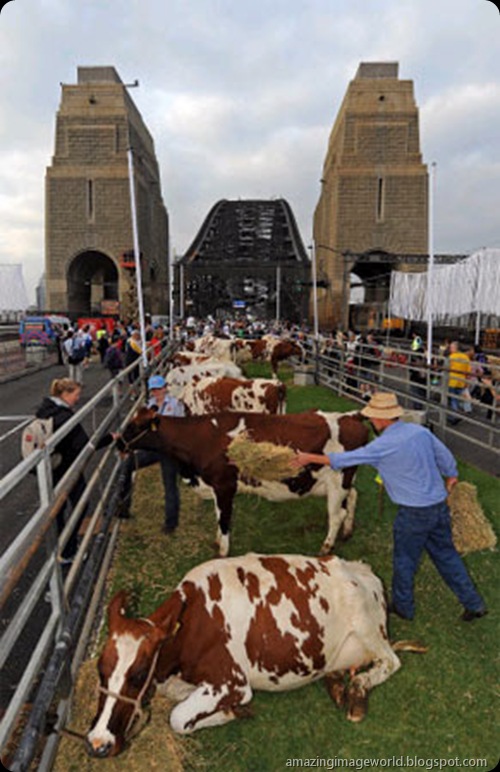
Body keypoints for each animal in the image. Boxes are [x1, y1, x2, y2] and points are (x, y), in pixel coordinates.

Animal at [86, 552, 422, 756]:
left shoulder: (232, 682)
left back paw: (356, 693)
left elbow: (178, 718)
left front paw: (232, 712)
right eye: (100, 670)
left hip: (369, 628)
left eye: (139, 674)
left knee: (390, 662)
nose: (97, 743)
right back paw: (338, 685)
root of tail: (360, 568)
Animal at [117, 408, 368, 556]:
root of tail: (351, 415)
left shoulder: (224, 485)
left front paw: (223, 551)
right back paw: (347, 532)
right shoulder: (216, 488)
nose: (117, 442)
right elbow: (218, 516)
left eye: (134, 426)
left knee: (336, 514)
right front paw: (217, 542)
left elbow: (224, 519)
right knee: (353, 497)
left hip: (337, 482)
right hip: (344, 480)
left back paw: (326, 547)